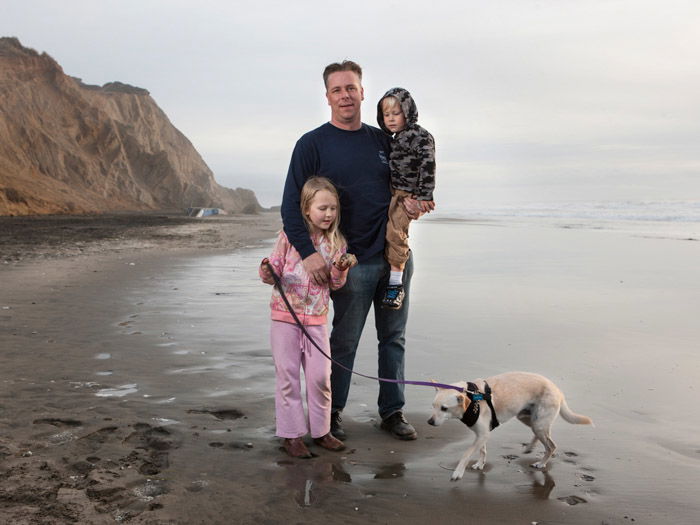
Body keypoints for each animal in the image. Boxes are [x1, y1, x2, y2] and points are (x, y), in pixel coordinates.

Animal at [426, 368, 592, 478]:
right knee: (542, 435)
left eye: (444, 408)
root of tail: (558, 391)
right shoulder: (482, 434)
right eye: (432, 406)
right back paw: (530, 448)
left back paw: (541, 463)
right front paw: (480, 464)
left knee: (551, 445)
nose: (429, 421)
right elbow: (482, 450)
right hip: (528, 419)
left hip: (538, 423)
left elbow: (467, 454)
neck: (472, 399)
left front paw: (458, 472)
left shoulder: (482, 434)